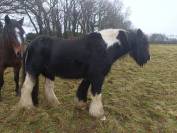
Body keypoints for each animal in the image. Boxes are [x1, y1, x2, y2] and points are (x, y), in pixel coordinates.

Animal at [19, 28, 149, 120]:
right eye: (143, 43)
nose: (147, 58)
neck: (105, 47)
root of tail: (30, 44)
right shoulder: (98, 77)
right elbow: (97, 94)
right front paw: (99, 115)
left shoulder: (90, 76)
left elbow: (83, 89)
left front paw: (81, 105)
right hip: (32, 71)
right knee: (27, 87)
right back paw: (28, 107)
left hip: (49, 73)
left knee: (48, 87)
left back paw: (55, 104)